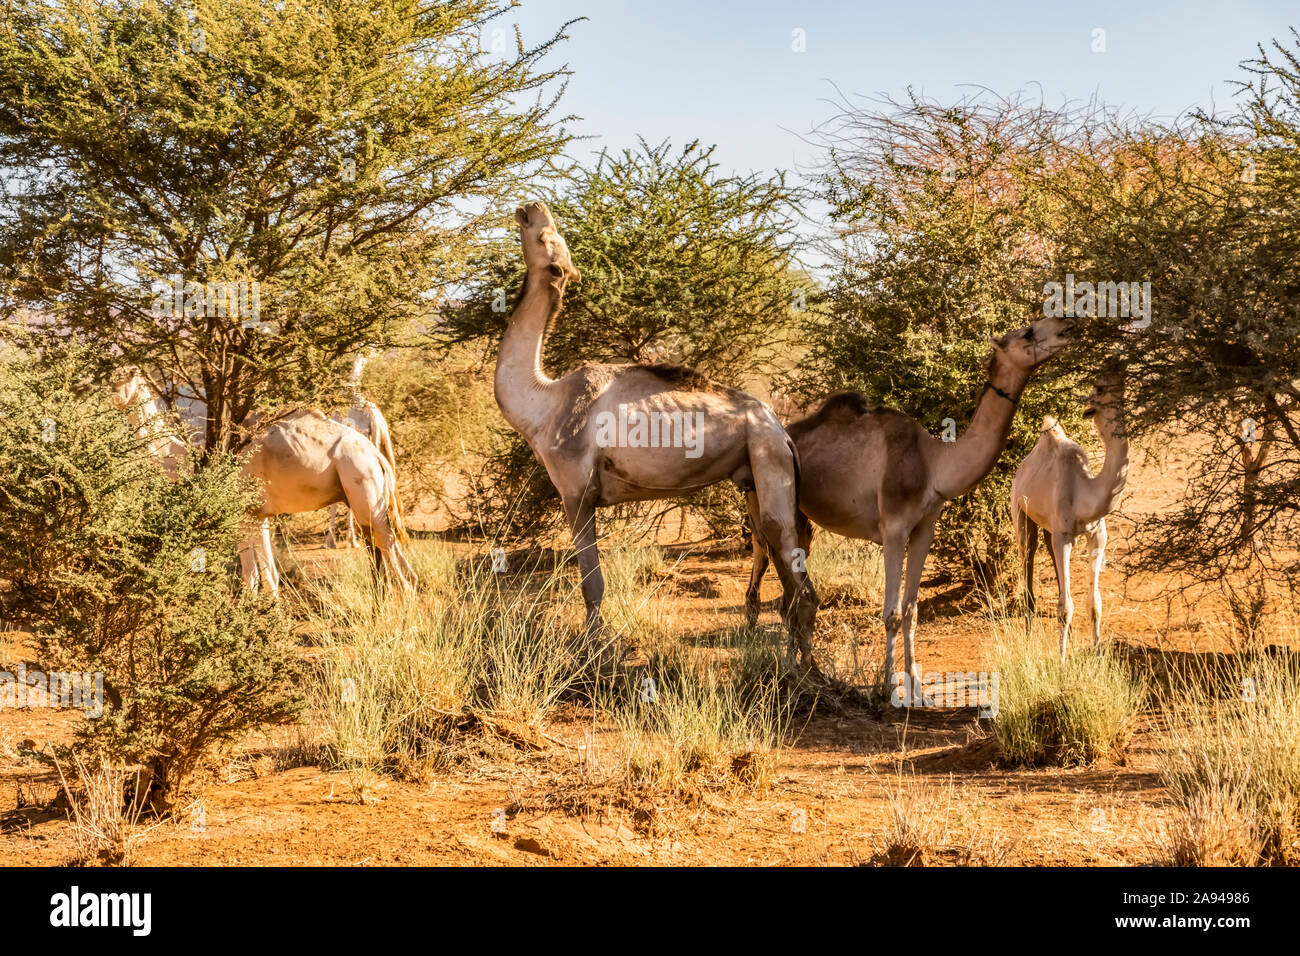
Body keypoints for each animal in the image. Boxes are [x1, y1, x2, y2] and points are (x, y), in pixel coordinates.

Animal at [236, 411, 413, 598]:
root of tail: (376, 456)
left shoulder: (242, 513)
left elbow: (250, 575)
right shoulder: (258, 516)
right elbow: (270, 574)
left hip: (364, 489)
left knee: (387, 546)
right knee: (385, 546)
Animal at [491, 200, 816, 665]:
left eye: (544, 236)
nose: (532, 206)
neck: (544, 404)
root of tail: (781, 429)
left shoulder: (575, 492)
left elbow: (592, 583)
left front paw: (594, 656)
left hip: (768, 457)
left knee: (790, 565)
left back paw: (806, 670)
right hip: (754, 475)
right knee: (781, 564)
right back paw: (792, 658)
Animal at [748, 317, 1071, 707]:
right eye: (1027, 333)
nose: (1065, 328)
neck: (935, 465)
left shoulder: (924, 529)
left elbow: (912, 610)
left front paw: (918, 689)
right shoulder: (894, 527)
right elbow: (891, 613)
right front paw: (889, 687)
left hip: (800, 519)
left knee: (789, 597)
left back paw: (802, 670)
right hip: (767, 504)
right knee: (785, 589)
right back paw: (798, 674)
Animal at [1003, 374, 1128, 658]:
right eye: (1100, 391)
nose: (1121, 408)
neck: (1085, 491)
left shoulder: (1098, 535)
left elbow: (1094, 602)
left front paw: (1097, 653)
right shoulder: (1063, 536)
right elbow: (1065, 608)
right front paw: (1061, 660)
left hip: (1050, 526)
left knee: (1051, 559)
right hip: (1019, 511)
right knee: (1028, 555)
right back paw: (1029, 636)